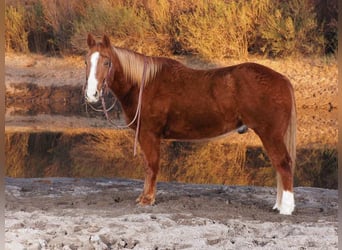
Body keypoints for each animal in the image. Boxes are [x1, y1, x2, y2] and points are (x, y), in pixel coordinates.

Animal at [84, 34, 296, 215]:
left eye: (106, 62)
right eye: (86, 61)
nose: (91, 94)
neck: (143, 85)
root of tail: (282, 79)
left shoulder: (149, 134)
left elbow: (151, 166)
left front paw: (147, 199)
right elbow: (148, 166)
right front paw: (144, 197)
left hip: (270, 134)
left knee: (283, 164)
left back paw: (286, 208)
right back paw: (278, 206)